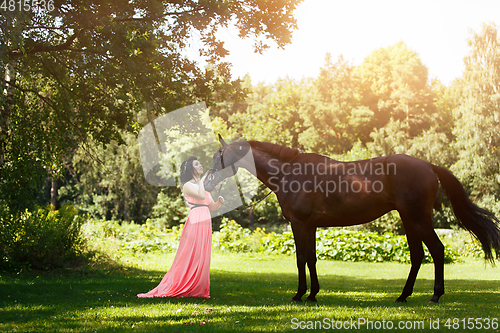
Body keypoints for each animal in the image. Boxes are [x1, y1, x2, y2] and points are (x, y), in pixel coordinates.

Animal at [205, 135, 500, 304]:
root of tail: (428, 166)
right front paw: (313, 294)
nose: (207, 181)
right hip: (409, 220)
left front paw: (300, 294)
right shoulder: (310, 226)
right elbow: (311, 259)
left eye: (218, 156)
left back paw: (435, 296)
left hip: (418, 219)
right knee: (418, 255)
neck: (290, 172)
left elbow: (300, 259)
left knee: (437, 250)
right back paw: (403, 296)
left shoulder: (299, 224)